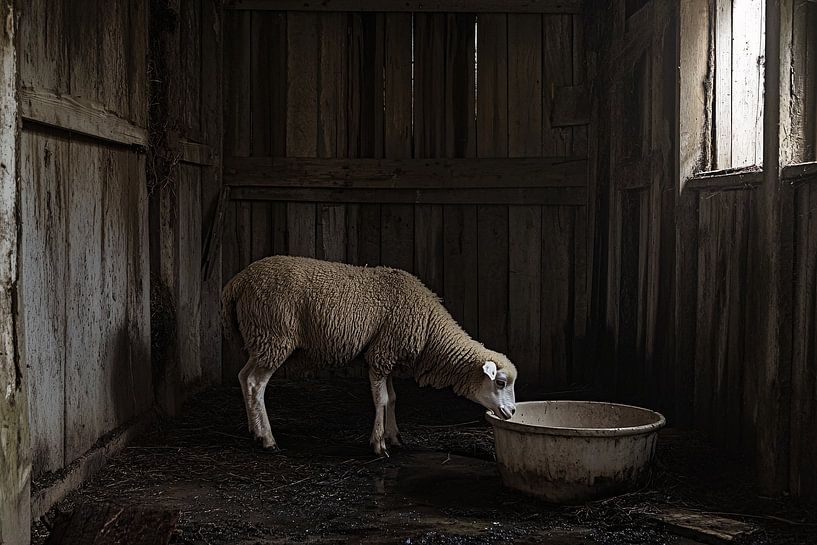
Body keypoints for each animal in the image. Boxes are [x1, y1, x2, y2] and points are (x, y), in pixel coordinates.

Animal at [221, 255, 518, 456]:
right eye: (500, 382)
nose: (512, 411)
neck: (430, 327)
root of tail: (237, 281)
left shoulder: (386, 355)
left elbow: (393, 398)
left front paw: (394, 436)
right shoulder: (381, 354)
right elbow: (382, 400)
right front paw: (378, 444)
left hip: (261, 339)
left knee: (243, 377)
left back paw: (253, 430)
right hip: (273, 335)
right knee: (255, 384)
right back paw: (267, 439)